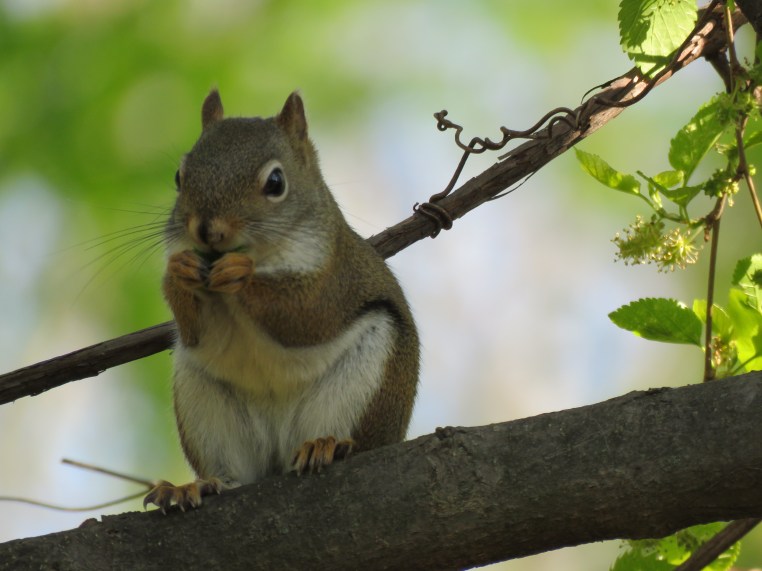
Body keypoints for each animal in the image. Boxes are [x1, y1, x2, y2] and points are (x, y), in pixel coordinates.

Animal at [143, 90, 420, 512]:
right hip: (204, 402)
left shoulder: (333, 279)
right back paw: (198, 486)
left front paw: (240, 273)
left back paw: (327, 445)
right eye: (179, 177)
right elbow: (193, 331)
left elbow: (306, 316)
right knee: (231, 472)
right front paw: (179, 272)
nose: (206, 230)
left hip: (366, 380)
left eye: (276, 182)